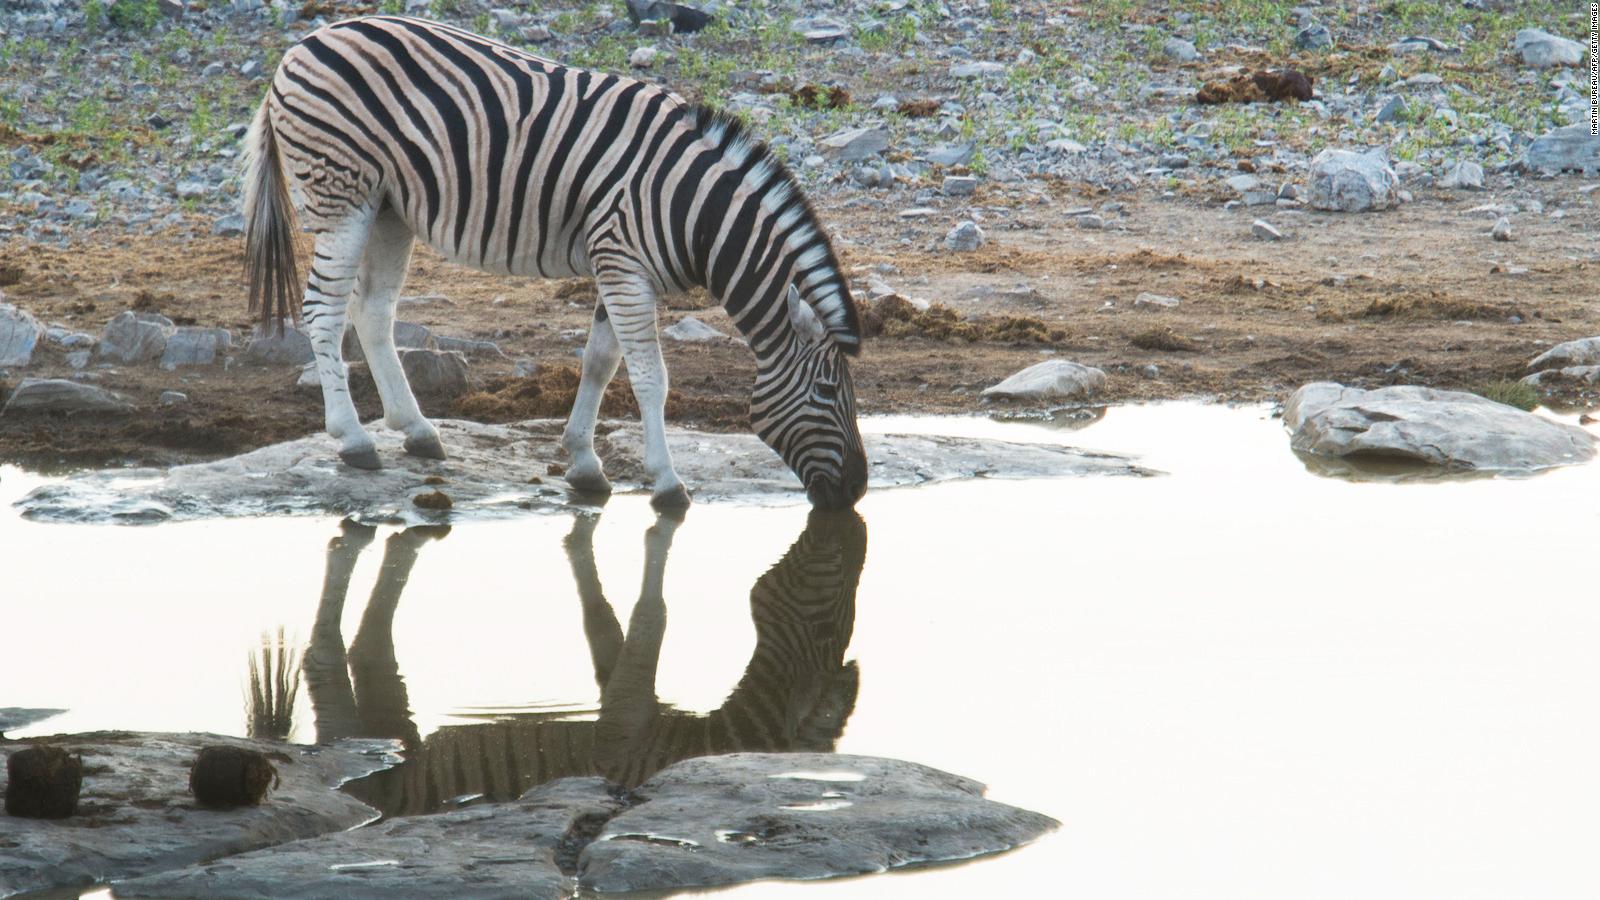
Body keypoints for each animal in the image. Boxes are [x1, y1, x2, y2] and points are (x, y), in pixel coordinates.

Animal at [243, 14, 870, 509]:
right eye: (826, 393)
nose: (858, 491)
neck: (693, 208)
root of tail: (302, 44)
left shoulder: (619, 265)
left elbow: (600, 362)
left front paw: (583, 464)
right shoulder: (622, 263)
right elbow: (650, 377)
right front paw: (667, 482)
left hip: (389, 207)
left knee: (372, 310)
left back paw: (417, 431)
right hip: (342, 194)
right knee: (323, 310)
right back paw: (354, 440)